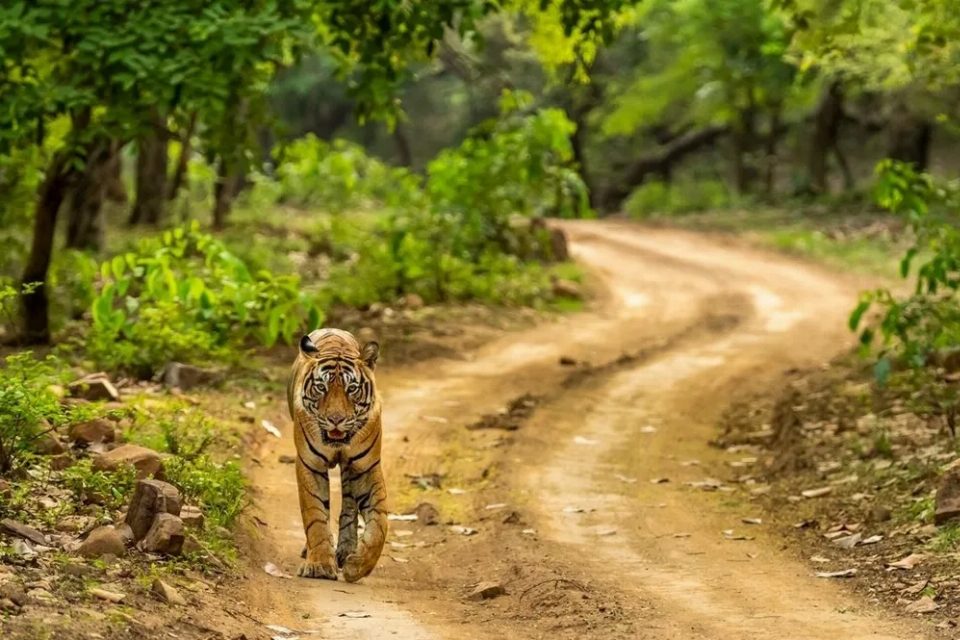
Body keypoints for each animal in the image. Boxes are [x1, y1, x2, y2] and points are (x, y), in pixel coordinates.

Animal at [287, 328, 387, 583]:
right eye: (321, 387)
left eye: (352, 389)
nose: (335, 419)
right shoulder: (309, 465)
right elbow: (315, 516)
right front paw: (320, 565)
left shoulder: (367, 467)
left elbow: (380, 522)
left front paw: (358, 566)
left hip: (351, 471)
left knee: (349, 504)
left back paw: (346, 550)